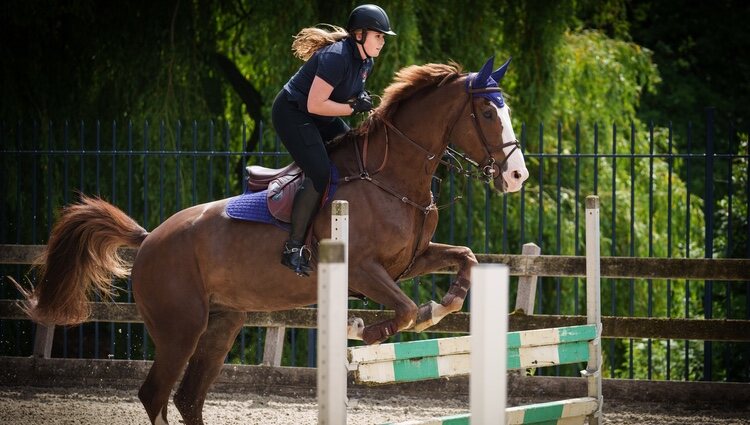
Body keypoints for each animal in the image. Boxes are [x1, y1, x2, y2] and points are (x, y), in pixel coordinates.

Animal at [22, 57, 528, 424]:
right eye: (487, 112)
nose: (517, 176)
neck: (392, 177)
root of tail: (149, 240)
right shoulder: (363, 270)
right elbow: (404, 311)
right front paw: (362, 328)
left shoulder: (412, 259)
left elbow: (464, 259)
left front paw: (444, 305)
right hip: (179, 328)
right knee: (155, 396)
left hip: (221, 325)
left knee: (187, 399)